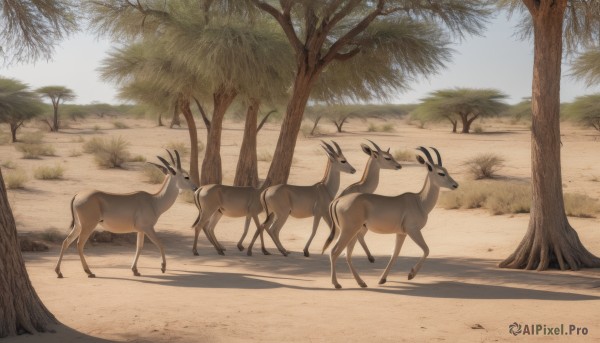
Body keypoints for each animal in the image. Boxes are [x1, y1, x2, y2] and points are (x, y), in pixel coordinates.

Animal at [53, 152, 195, 278]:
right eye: (186, 176)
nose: (195, 187)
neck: (154, 200)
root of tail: (78, 195)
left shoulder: (141, 230)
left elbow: (139, 247)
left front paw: (135, 270)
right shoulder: (148, 228)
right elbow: (160, 243)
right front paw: (163, 267)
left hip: (78, 225)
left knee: (66, 242)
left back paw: (59, 272)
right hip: (88, 226)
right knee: (79, 244)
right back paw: (89, 272)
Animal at [326, 146, 458, 288]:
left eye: (446, 170)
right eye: (441, 173)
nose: (455, 185)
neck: (419, 201)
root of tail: (338, 200)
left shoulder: (401, 233)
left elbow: (394, 254)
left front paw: (382, 279)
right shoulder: (413, 230)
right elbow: (426, 250)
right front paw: (411, 275)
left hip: (353, 232)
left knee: (347, 254)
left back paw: (361, 282)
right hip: (348, 231)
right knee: (334, 251)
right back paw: (336, 284)